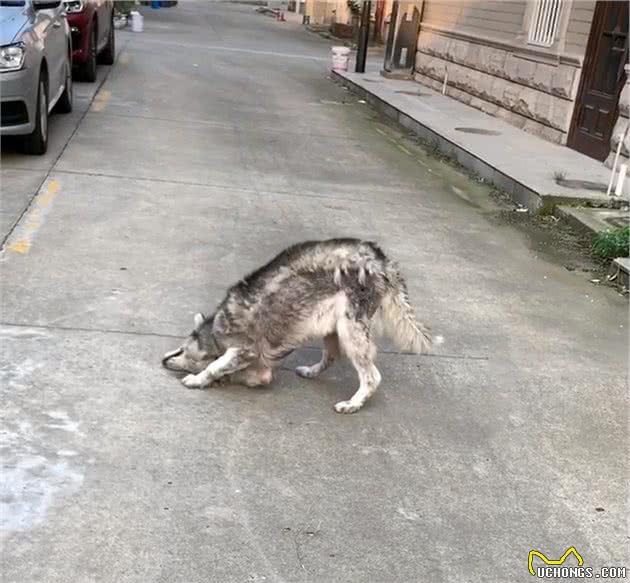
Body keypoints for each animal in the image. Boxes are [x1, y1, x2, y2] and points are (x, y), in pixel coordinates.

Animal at [163, 238, 434, 416]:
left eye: (184, 351)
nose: (163, 361)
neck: (216, 332)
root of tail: (381, 259)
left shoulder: (245, 350)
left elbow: (215, 366)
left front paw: (199, 378)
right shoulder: (260, 371)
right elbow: (237, 373)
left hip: (351, 329)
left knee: (372, 376)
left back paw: (353, 403)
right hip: (333, 327)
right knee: (331, 357)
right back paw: (312, 371)